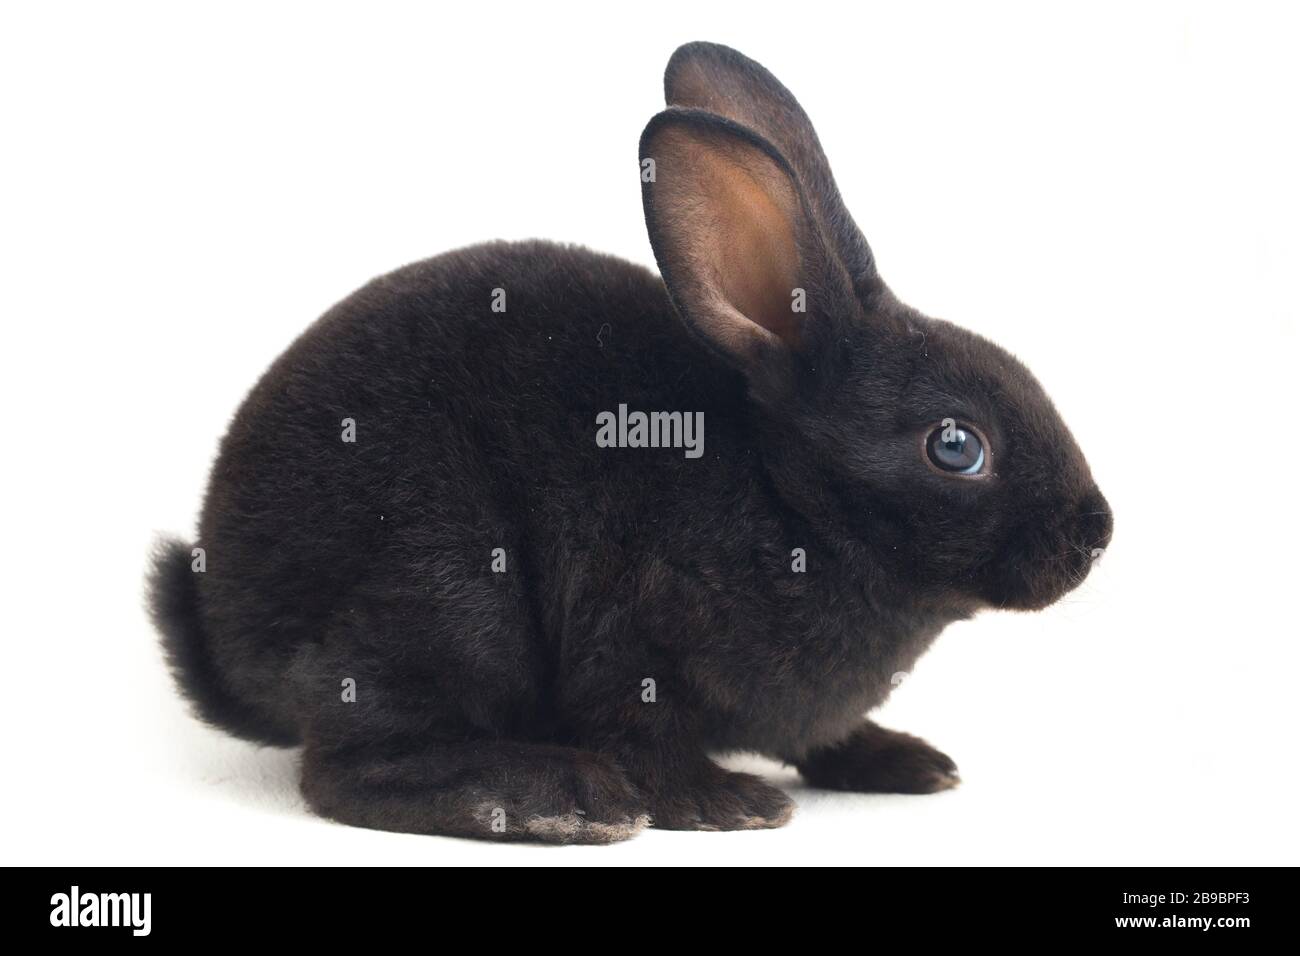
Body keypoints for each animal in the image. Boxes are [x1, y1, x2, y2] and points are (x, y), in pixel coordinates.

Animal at [149, 41, 1112, 844]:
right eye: (956, 447)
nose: (1097, 529)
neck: (789, 503)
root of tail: (221, 624)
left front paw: (907, 761)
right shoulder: (630, 637)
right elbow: (645, 735)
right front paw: (728, 804)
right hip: (446, 593)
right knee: (350, 767)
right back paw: (561, 799)